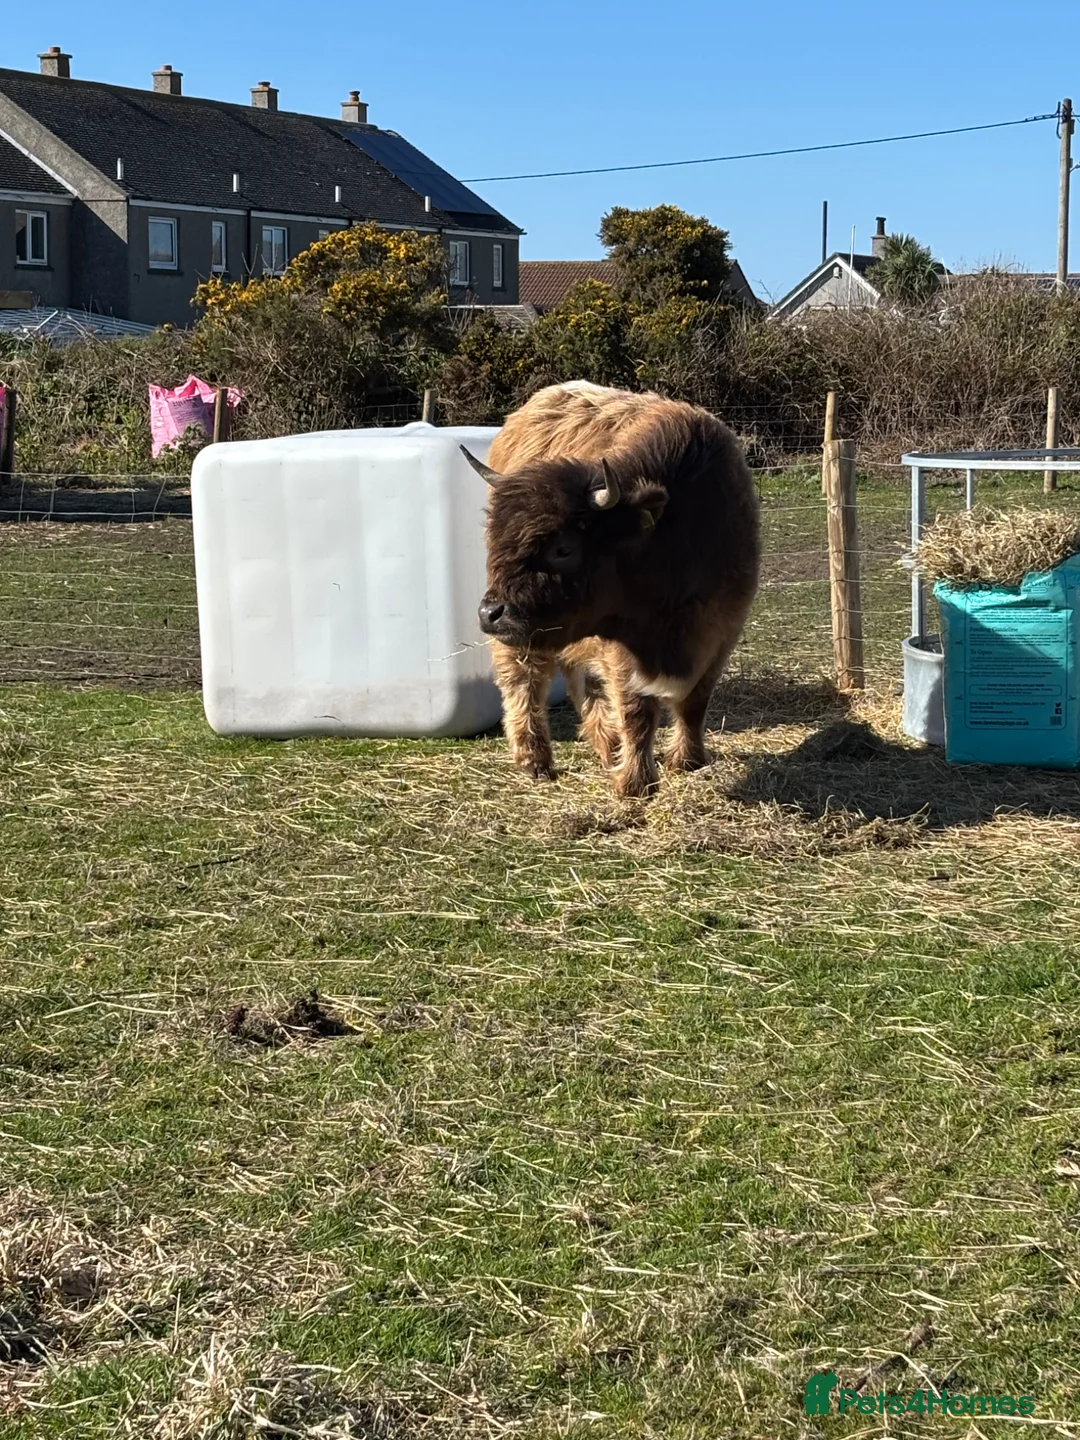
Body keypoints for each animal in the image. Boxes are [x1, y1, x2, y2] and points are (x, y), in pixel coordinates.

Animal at [460, 381, 760, 799]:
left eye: (563, 548)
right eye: (498, 538)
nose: (490, 613)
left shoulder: (722, 632)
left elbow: (694, 702)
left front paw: (687, 760)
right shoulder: (620, 648)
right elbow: (637, 711)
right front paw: (635, 782)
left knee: (579, 683)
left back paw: (606, 744)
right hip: (523, 639)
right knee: (523, 679)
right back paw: (535, 759)